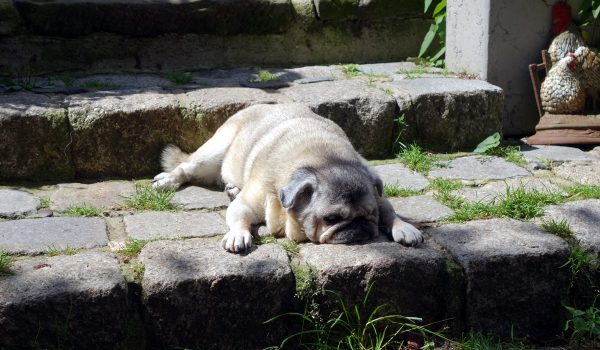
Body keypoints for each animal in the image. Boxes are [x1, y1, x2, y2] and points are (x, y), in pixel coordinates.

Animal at [155, 102, 424, 253]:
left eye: (370, 214)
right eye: (331, 219)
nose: (359, 227)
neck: (322, 157)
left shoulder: (378, 195)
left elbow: (390, 211)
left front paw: (405, 228)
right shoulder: (247, 204)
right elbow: (238, 217)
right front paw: (239, 234)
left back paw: (231, 188)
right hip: (213, 152)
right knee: (187, 168)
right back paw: (167, 181)